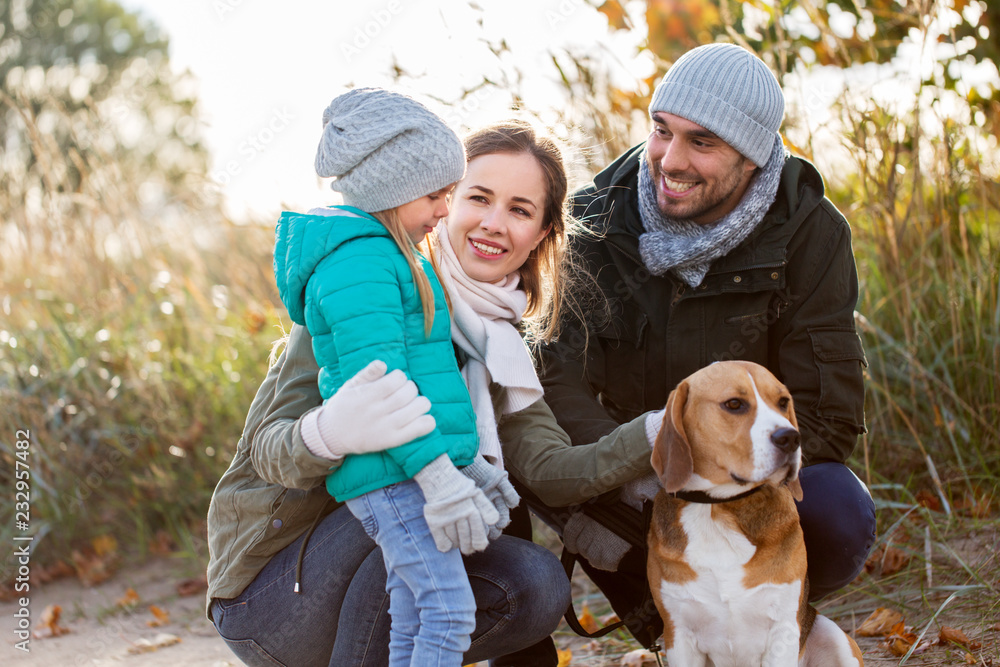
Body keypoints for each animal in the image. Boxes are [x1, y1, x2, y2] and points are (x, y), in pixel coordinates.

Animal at [644, 362, 864, 664]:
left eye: (783, 402)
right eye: (734, 404)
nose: (791, 438)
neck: (717, 508)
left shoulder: (784, 627)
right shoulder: (678, 634)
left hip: (834, 638)